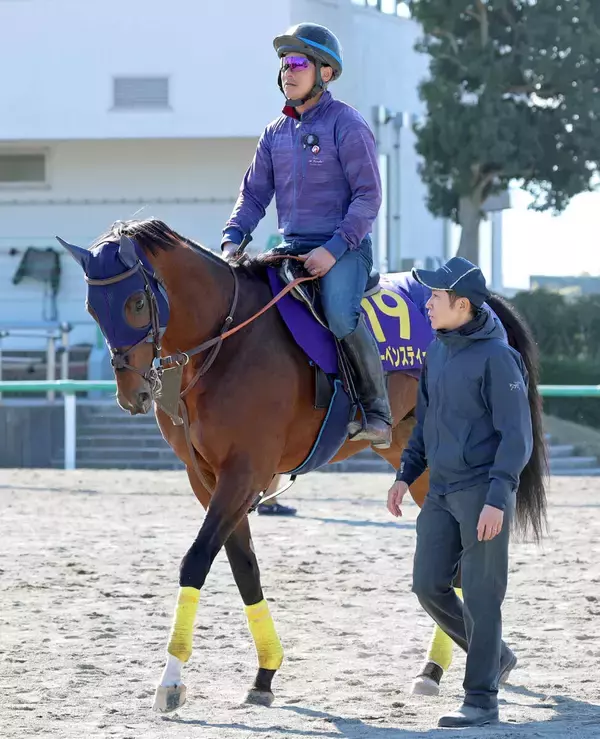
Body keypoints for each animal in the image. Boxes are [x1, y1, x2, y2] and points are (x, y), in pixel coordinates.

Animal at [56, 218, 547, 713]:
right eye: (92, 307)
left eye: (136, 302)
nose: (132, 394)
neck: (229, 342)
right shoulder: (207, 479)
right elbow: (244, 568)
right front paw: (265, 673)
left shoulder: (244, 473)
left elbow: (196, 561)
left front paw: (171, 679)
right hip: (418, 458)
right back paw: (441, 667)